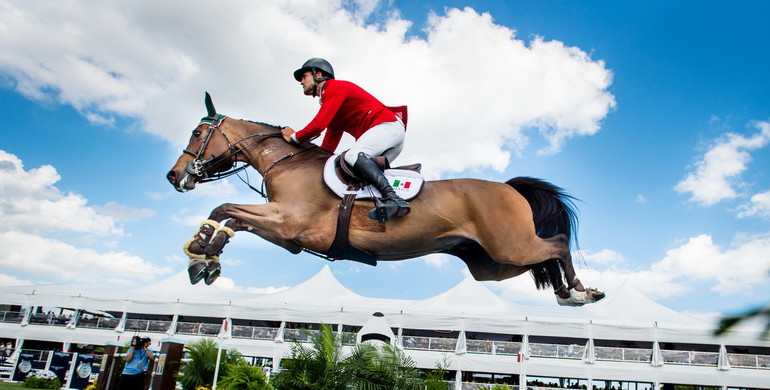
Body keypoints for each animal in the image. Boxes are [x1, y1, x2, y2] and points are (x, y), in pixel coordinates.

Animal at [168, 93, 608, 306]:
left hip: (511, 246)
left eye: (197, 133)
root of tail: (510, 187)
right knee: (545, 257)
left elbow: (223, 208)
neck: (287, 163)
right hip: (494, 265)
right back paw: (566, 293)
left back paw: (581, 291)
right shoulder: (289, 235)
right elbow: (233, 220)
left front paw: (200, 250)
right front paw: (206, 258)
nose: (174, 176)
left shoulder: (289, 220)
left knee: (557, 244)